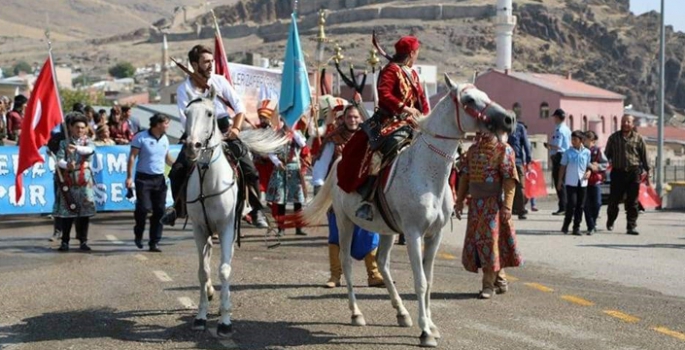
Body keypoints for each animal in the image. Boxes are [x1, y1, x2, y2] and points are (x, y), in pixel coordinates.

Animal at [182, 92, 288, 336]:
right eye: (187, 113)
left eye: (209, 113)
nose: (192, 147)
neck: (208, 180)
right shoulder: (199, 229)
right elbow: (203, 271)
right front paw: (200, 317)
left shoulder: (227, 228)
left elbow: (224, 270)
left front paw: (225, 320)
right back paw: (210, 292)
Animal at [296, 74, 516, 348]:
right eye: (469, 100)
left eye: (485, 95)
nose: (509, 119)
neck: (427, 173)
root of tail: (337, 163)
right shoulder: (413, 234)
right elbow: (419, 281)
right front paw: (425, 332)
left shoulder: (434, 235)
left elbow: (429, 280)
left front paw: (430, 324)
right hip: (345, 222)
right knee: (346, 262)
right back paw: (356, 313)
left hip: (387, 230)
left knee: (382, 262)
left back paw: (401, 312)